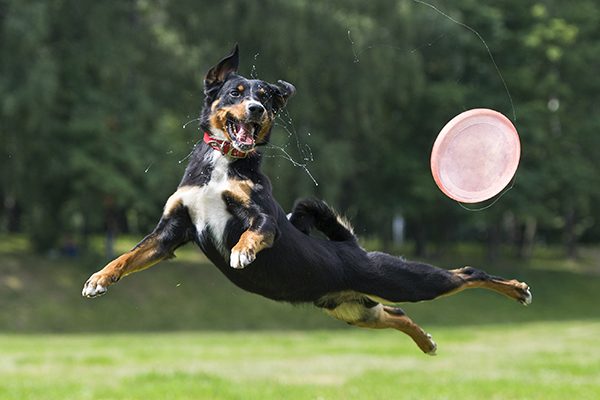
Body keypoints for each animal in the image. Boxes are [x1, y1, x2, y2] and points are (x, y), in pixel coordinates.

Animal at [82, 45, 532, 354]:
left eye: (266, 96)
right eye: (236, 92)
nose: (257, 108)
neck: (222, 165)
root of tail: (350, 248)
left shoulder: (263, 219)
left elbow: (253, 232)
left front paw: (242, 252)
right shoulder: (172, 230)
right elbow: (127, 256)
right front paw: (99, 279)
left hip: (404, 280)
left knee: (467, 273)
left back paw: (517, 290)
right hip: (353, 309)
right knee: (397, 313)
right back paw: (426, 342)